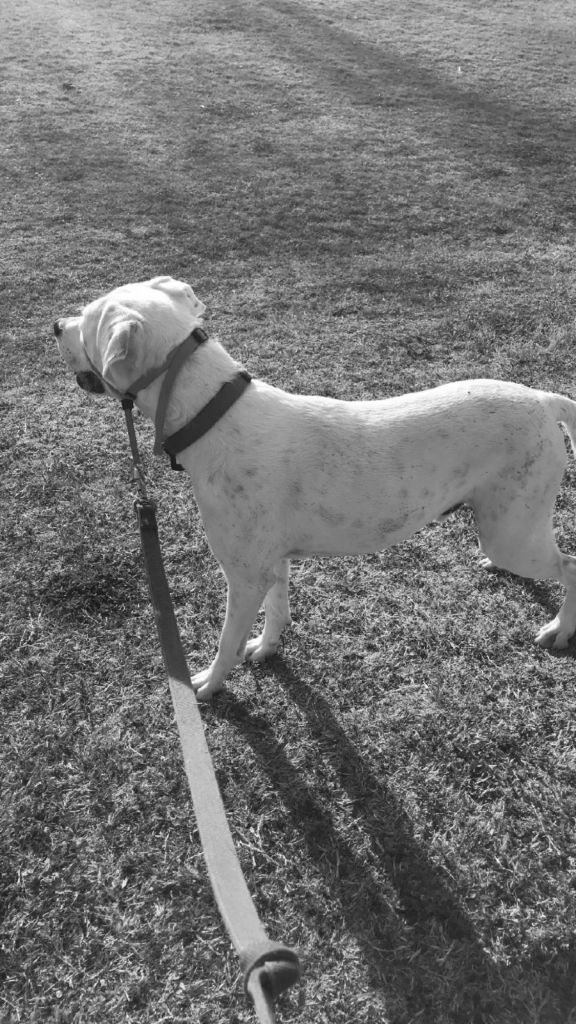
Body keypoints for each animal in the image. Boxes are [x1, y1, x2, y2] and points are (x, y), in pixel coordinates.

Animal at [54, 275, 576, 699]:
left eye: (90, 320)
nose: (56, 324)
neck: (213, 411)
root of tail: (544, 399)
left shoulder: (243, 577)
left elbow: (226, 641)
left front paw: (208, 683)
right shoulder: (272, 565)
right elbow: (277, 610)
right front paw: (265, 648)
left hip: (514, 533)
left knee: (569, 566)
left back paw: (558, 630)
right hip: (506, 524)